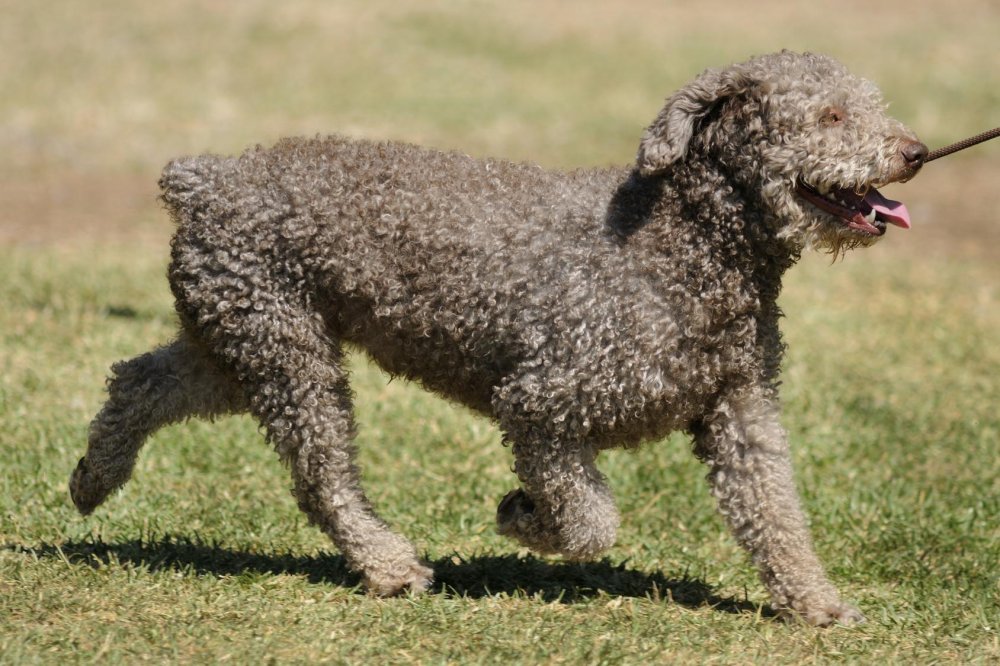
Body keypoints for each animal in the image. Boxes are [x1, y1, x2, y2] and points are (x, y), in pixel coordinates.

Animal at [72, 50, 928, 624]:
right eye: (830, 117)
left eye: (871, 104)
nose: (915, 151)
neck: (683, 250)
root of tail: (206, 178)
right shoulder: (542, 402)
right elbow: (590, 521)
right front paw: (520, 516)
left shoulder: (740, 410)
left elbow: (774, 511)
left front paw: (816, 604)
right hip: (289, 354)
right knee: (320, 476)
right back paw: (388, 565)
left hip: (236, 337)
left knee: (139, 379)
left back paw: (93, 479)